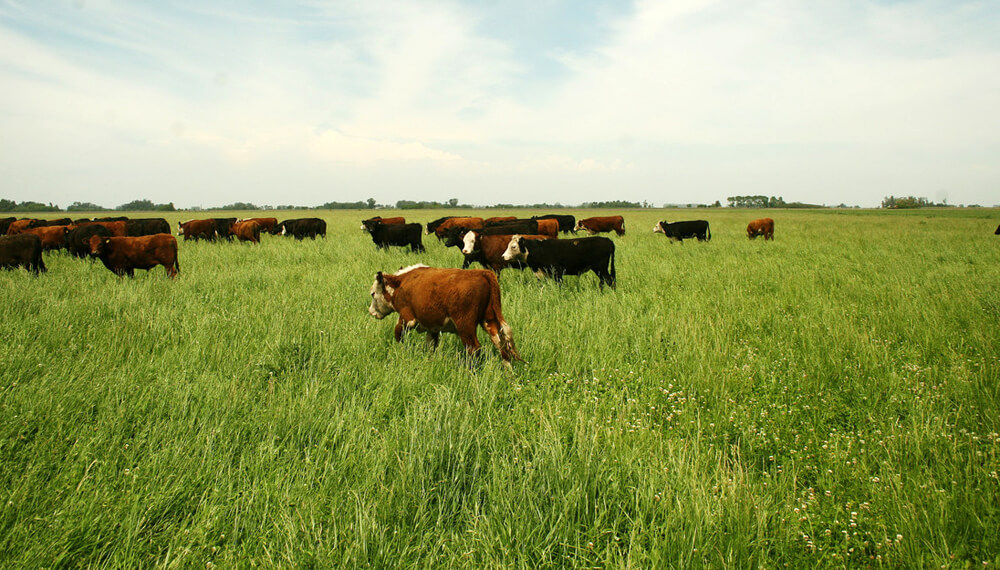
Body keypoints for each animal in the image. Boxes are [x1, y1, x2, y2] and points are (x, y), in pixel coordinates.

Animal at [368, 265, 523, 368]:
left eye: (373, 293)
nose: (371, 312)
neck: (402, 283)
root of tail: (482, 273)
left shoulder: (408, 318)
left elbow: (398, 334)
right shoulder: (432, 327)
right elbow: (431, 345)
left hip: (465, 325)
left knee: (474, 348)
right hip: (490, 320)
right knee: (501, 345)